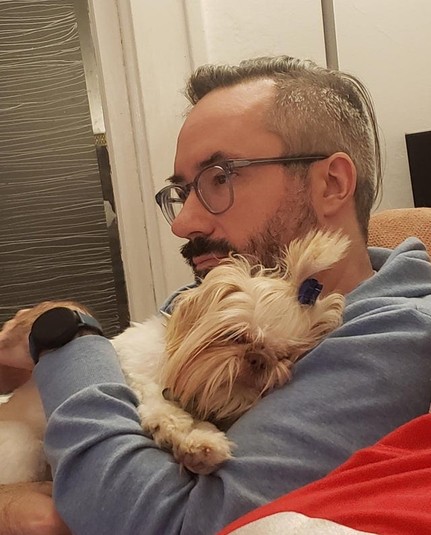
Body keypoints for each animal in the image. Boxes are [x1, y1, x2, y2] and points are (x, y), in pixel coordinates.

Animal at [0, 229, 348, 481]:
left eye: (285, 355)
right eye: (237, 336)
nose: (260, 359)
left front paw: (200, 445)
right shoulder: (137, 375)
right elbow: (161, 406)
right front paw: (178, 428)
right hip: (25, 449)